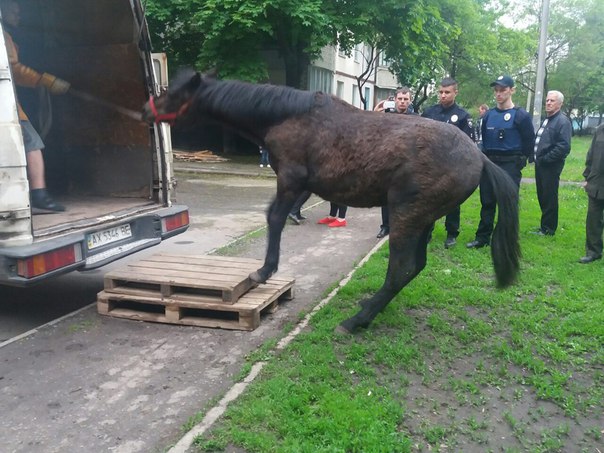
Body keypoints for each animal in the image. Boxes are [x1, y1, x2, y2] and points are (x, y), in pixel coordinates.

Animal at [142, 70, 520, 332]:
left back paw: (358, 320)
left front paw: (263, 271)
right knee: (415, 267)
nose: (146, 113)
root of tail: (478, 156)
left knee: (400, 270)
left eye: (174, 93)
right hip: (422, 220)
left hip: (406, 217)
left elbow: (274, 218)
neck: (288, 116)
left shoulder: (290, 181)